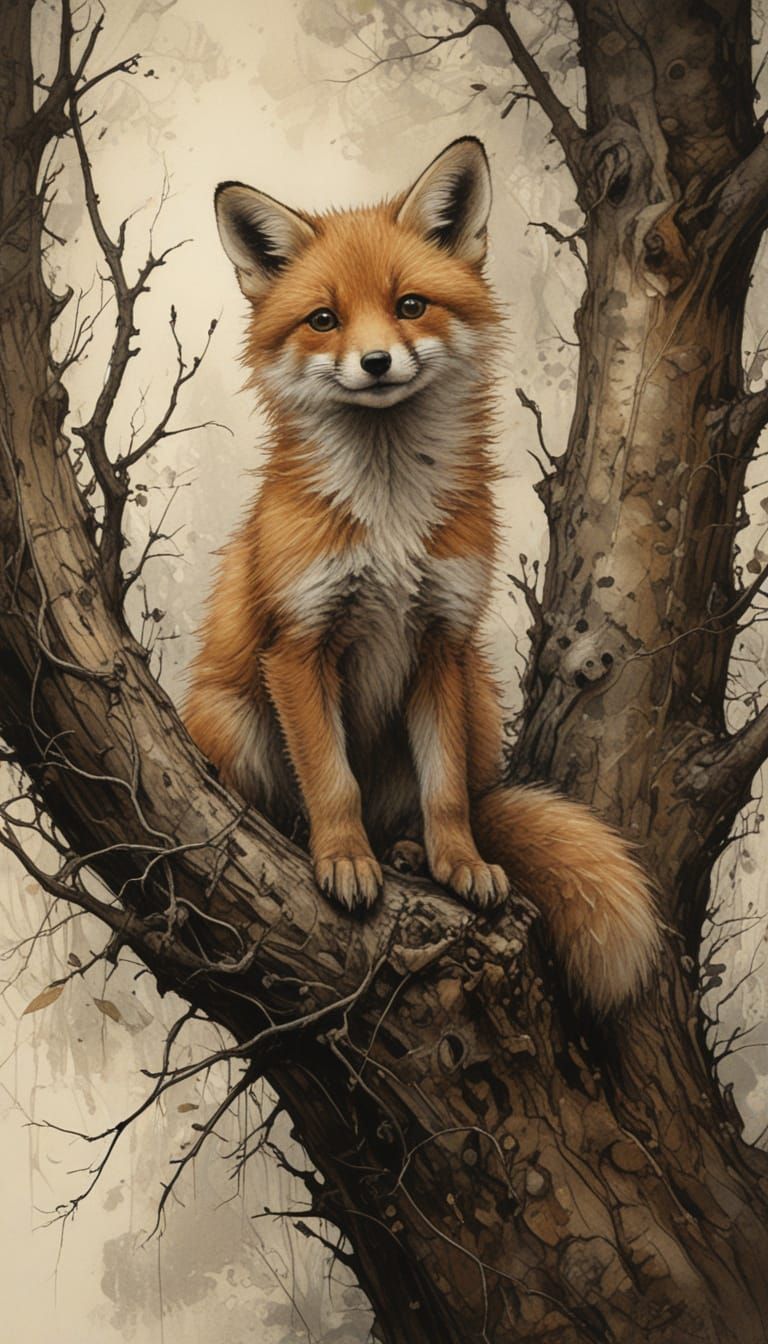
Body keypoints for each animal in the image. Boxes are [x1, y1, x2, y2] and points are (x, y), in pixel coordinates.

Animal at [184, 137, 660, 1015]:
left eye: (410, 306)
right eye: (324, 320)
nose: (375, 362)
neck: (390, 520)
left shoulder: (442, 641)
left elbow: (445, 796)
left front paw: (456, 862)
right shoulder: (297, 647)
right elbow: (330, 781)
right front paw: (343, 859)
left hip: (476, 698)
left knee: (460, 800)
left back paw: (410, 853)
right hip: (227, 715)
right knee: (282, 804)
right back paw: (330, 844)